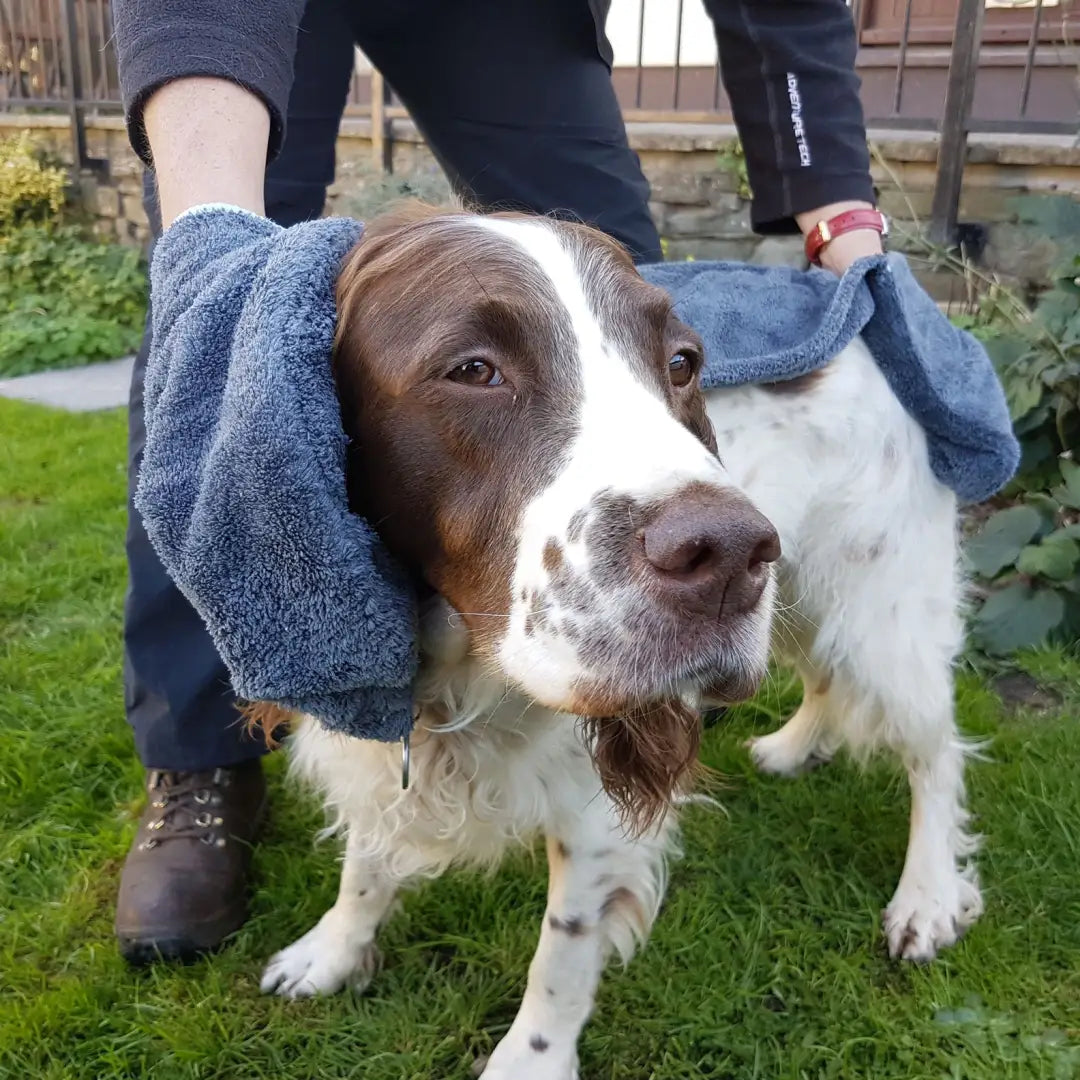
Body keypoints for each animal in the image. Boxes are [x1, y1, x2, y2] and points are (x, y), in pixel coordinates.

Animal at [257, 204, 984, 1080]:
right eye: (473, 370)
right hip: (801, 591)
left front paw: (529, 1062)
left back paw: (928, 897)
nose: (728, 552)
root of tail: (866, 298)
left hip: (879, 610)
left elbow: (562, 953)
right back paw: (795, 745)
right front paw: (330, 952)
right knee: (823, 678)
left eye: (682, 362)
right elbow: (366, 860)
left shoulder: (597, 808)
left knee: (934, 751)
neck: (459, 671)